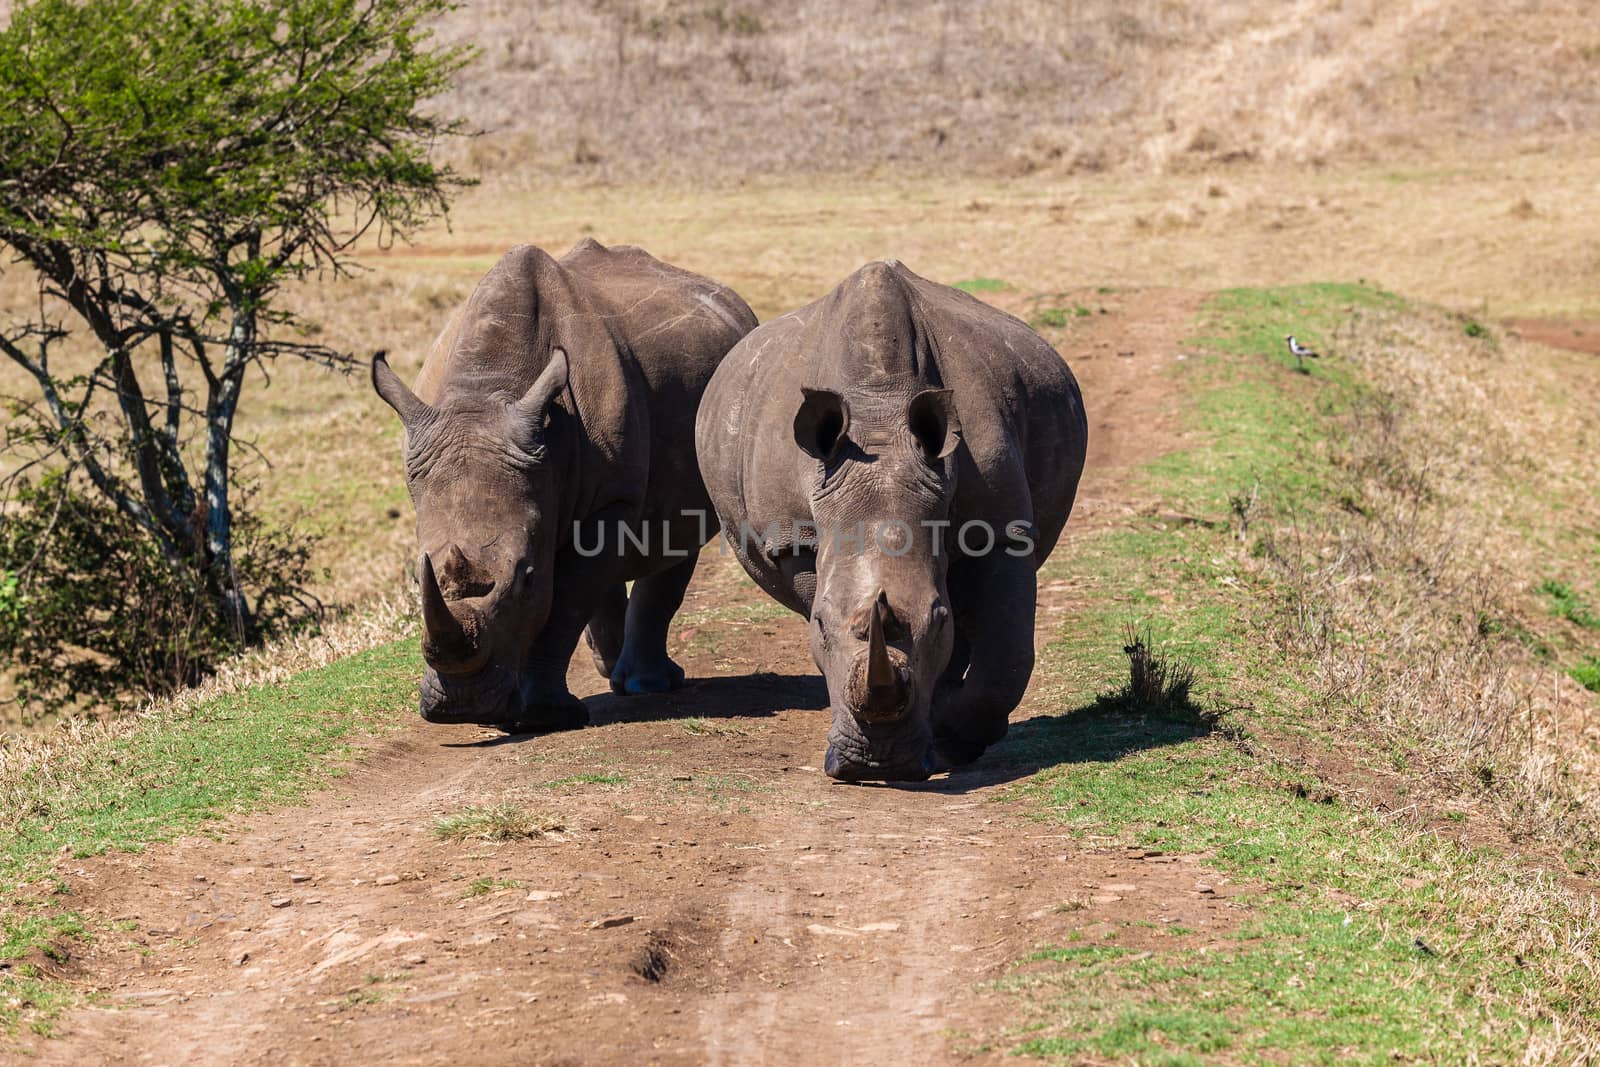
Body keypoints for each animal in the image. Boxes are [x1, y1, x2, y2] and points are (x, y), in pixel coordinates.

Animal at [374, 238, 755, 729]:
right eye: (420, 572)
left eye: (528, 577)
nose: (460, 709)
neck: (485, 389)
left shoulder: (610, 499)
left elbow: (565, 602)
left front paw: (544, 715)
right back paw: (612, 669)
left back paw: (645, 683)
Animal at [697, 262, 1088, 780]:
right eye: (819, 623)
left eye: (938, 620)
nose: (878, 765)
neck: (878, 414)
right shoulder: (795, 537)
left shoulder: (1002, 527)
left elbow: (1007, 655)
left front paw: (952, 739)